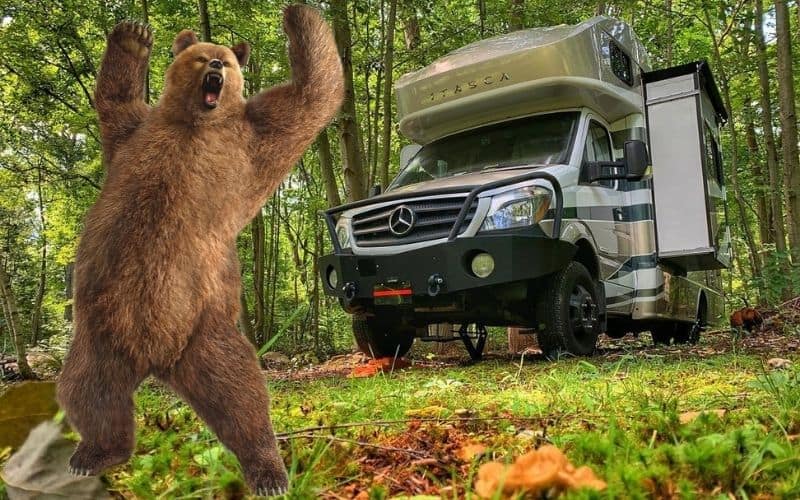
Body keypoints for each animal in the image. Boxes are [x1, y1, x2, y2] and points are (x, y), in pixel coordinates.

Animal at [55, 5, 343, 497]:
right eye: (202, 55)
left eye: (224, 59)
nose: (215, 68)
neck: (196, 123)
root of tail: (154, 360)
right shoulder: (135, 134)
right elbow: (114, 103)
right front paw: (134, 34)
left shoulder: (250, 139)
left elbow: (312, 96)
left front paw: (295, 15)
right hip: (102, 335)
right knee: (87, 392)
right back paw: (92, 454)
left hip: (204, 329)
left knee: (241, 394)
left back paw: (268, 471)